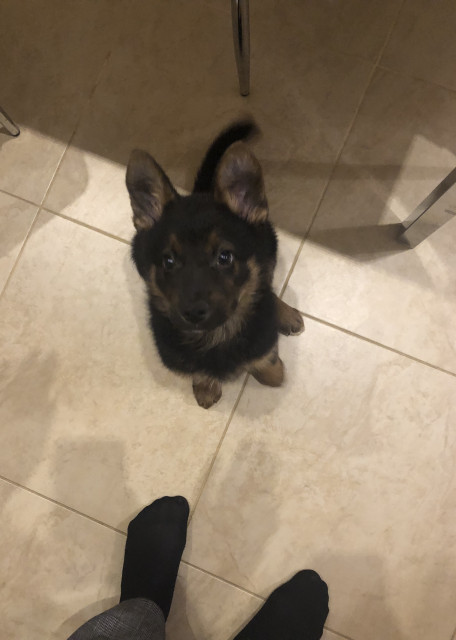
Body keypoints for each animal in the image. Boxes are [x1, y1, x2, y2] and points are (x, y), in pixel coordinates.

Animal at [126, 120, 304, 408]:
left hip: (269, 247)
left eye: (224, 257)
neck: (216, 336)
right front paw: (206, 387)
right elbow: (199, 370)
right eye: (168, 261)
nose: (193, 312)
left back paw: (285, 313)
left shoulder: (263, 339)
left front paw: (272, 373)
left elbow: (266, 358)